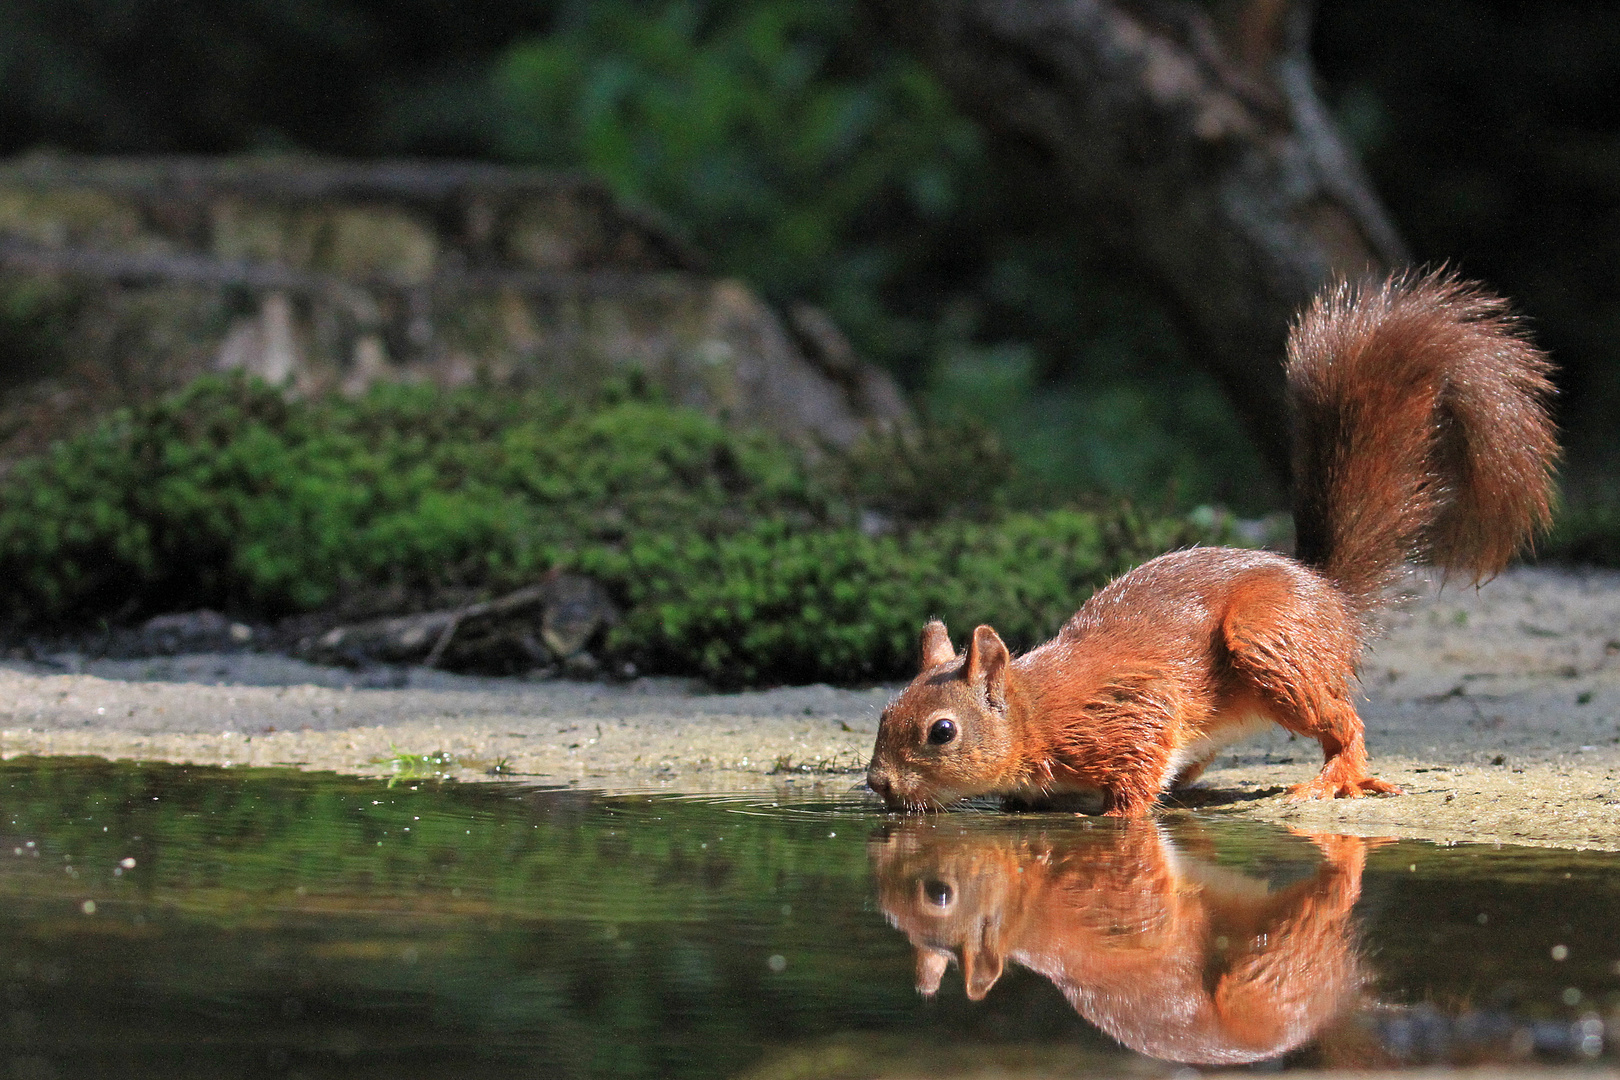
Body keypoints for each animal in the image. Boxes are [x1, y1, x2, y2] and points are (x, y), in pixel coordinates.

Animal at [868, 275, 1561, 816]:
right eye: (884, 711)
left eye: (942, 732)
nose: (876, 783)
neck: (1035, 712)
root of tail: (1328, 593)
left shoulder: (1127, 712)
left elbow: (1137, 772)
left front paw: (1118, 816)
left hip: (1269, 641)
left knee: (1343, 722)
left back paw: (1336, 777)